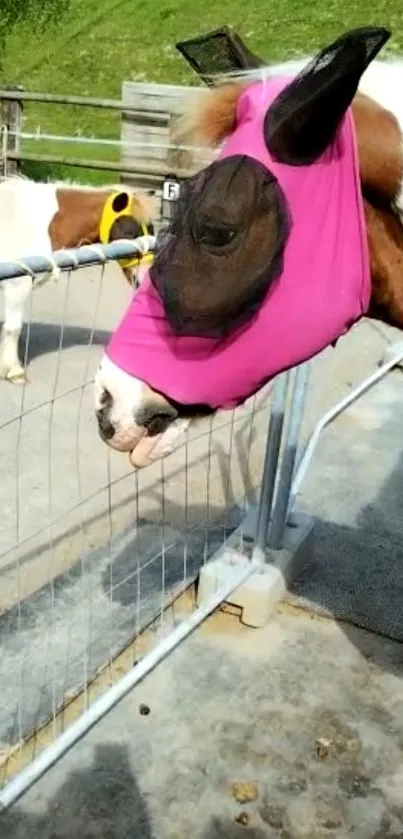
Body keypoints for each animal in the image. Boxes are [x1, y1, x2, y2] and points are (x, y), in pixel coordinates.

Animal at [0, 182, 156, 386]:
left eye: (152, 232)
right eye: (129, 232)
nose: (144, 278)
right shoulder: (17, 285)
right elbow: (13, 328)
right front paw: (14, 371)